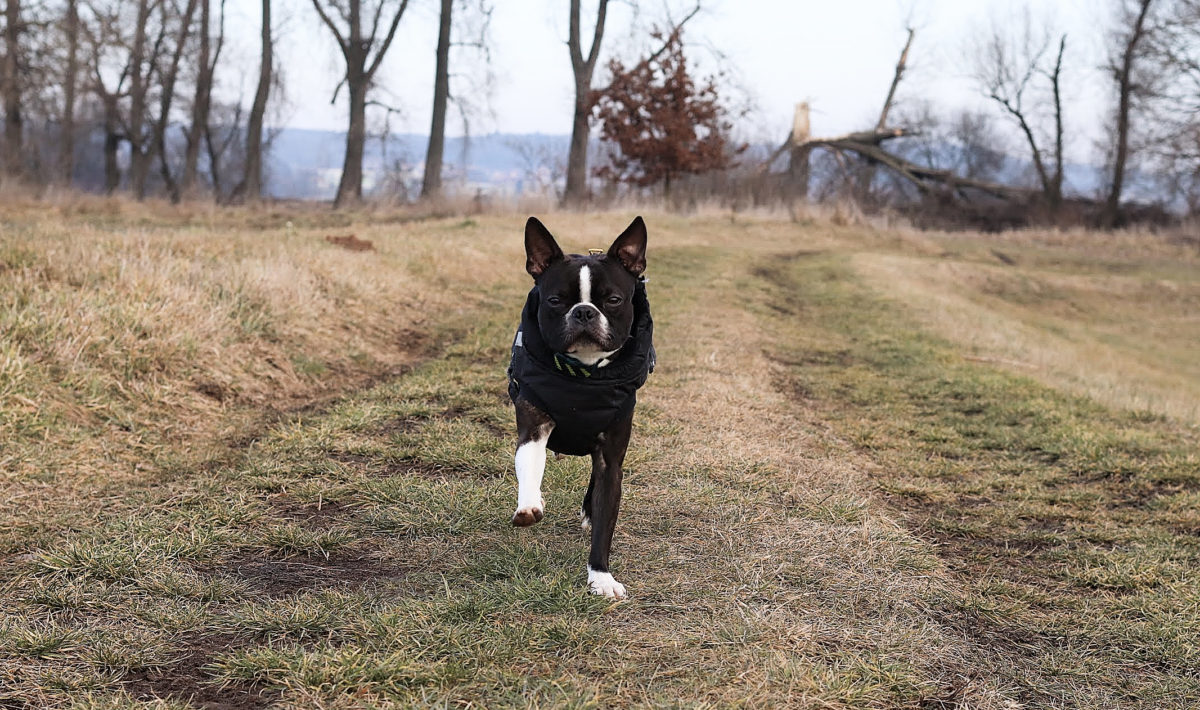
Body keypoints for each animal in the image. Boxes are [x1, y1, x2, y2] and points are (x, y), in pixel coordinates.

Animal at [506, 215, 657, 599]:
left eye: (614, 300)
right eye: (555, 300)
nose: (585, 312)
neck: (583, 378)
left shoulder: (612, 458)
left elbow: (605, 524)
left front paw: (601, 577)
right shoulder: (534, 428)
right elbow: (529, 466)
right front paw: (529, 504)